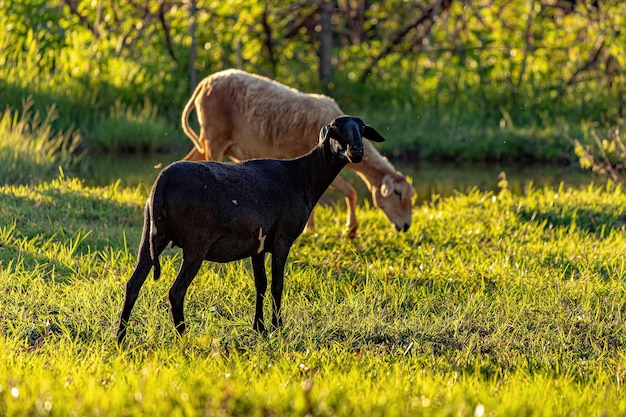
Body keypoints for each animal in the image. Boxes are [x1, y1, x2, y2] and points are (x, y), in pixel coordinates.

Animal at [114, 114, 382, 342]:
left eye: (362, 130)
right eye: (336, 131)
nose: (357, 151)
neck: (303, 177)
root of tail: (163, 182)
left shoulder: (258, 245)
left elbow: (260, 285)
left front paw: (259, 327)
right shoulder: (282, 239)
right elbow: (277, 286)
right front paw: (277, 327)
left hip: (152, 234)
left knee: (133, 284)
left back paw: (120, 337)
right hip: (195, 243)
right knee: (176, 292)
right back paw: (183, 338)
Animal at [179, 68, 414, 237]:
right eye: (398, 194)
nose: (406, 226)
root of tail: (205, 83)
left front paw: (311, 230)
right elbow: (351, 191)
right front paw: (351, 229)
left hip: (209, 140)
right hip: (214, 138)